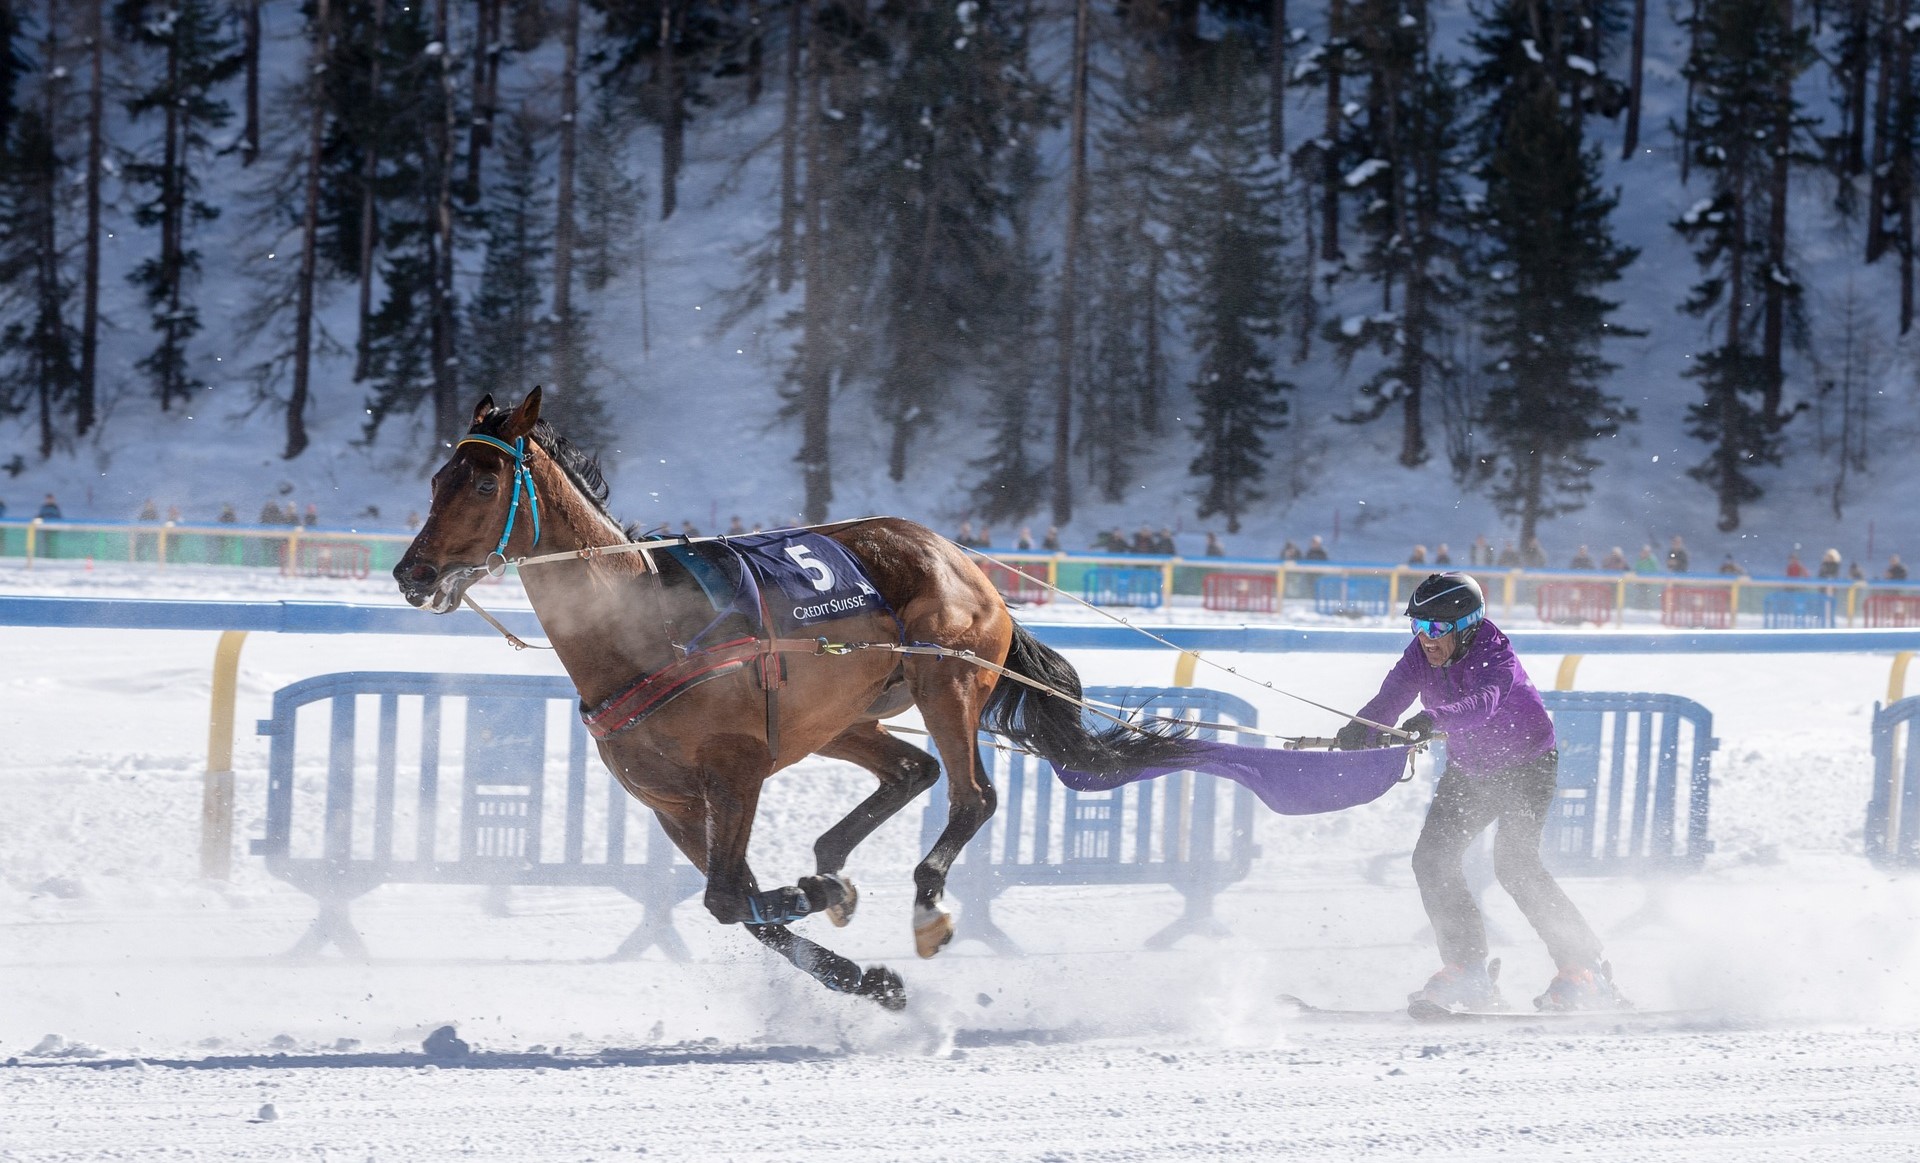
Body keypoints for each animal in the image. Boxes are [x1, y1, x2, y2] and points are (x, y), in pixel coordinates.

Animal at [395, 391, 1190, 1013]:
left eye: (485, 481)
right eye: (438, 477)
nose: (413, 573)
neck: (646, 624)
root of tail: (965, 561)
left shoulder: (735, 769)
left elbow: (727, 898)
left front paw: (828, 899)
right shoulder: (672, 804)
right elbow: (743, 911)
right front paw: (864, 974)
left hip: (946, 681)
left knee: (973, 796)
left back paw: (920, 901)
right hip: (841, 716)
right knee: (913, 771)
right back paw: (833, 860)